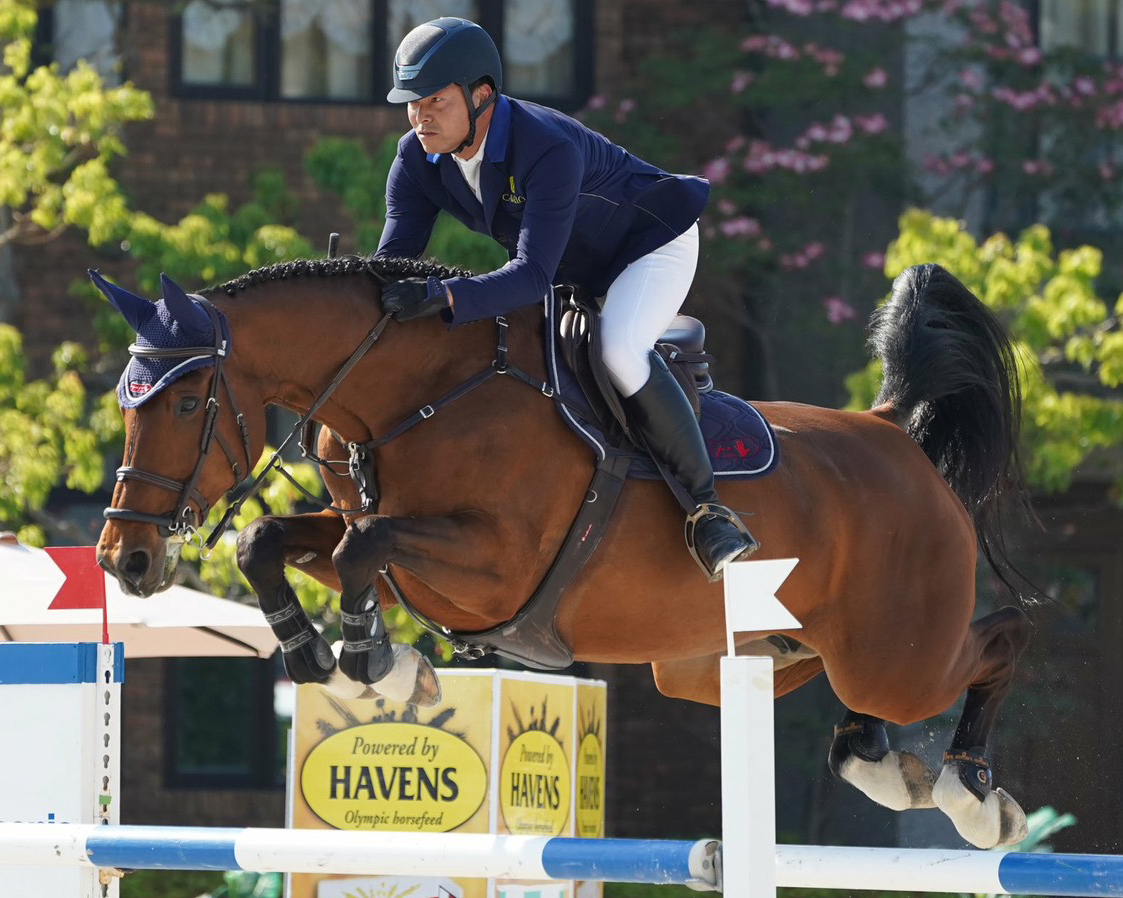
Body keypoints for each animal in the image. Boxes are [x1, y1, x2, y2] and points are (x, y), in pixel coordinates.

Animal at [93, 256, 1033, 850]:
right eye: (127, 400)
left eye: (185, 406)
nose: (122, 560)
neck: (417, 394)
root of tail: (893, 433)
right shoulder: (401, 558)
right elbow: (272, 541)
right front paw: (338, 660)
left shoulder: (493, 565)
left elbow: (364, 547)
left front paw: (378, 665)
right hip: (718, 663)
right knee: (836, 689)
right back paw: (882, 765)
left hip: (898, 654)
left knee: (999, 639)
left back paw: (970, 797)